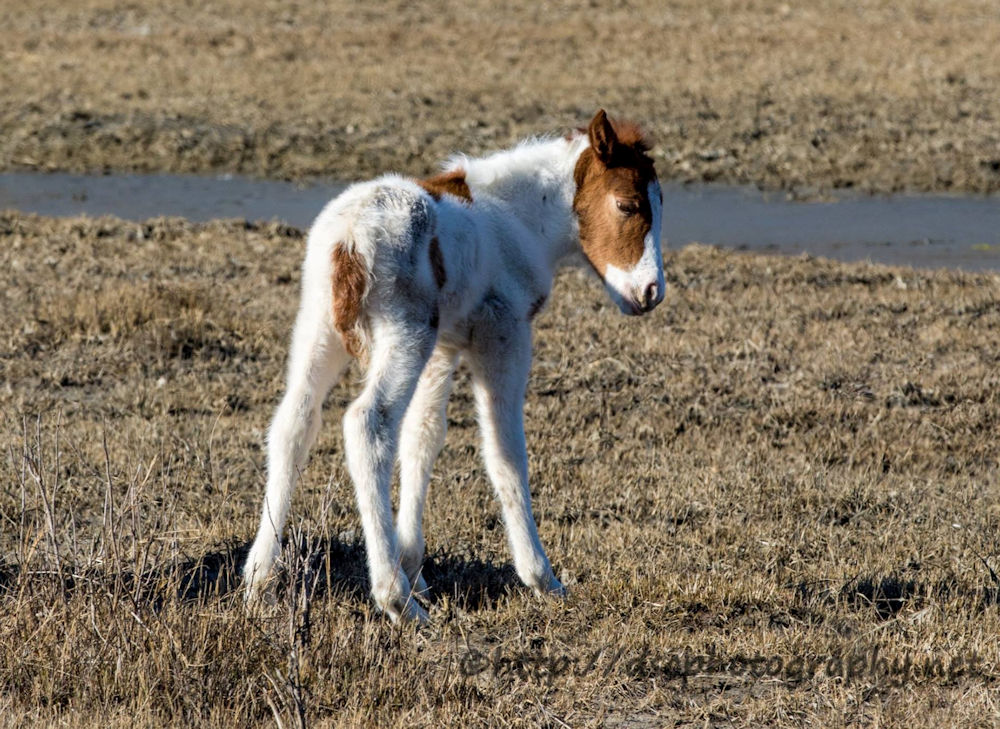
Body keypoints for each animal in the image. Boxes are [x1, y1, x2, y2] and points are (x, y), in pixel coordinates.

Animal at [243, 109, 664, 623]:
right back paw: (395, 598)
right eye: (627, 205)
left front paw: (416, 568)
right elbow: (505, 450)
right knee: (367, 424)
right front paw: (541, 578)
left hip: (319, 330)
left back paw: (260, 580)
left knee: (294, 424)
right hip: (404, 335)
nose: (651, 293)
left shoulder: (443, 348)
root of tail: (348, 240)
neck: (518, 222)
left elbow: (423, 438)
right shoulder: (502, 334)